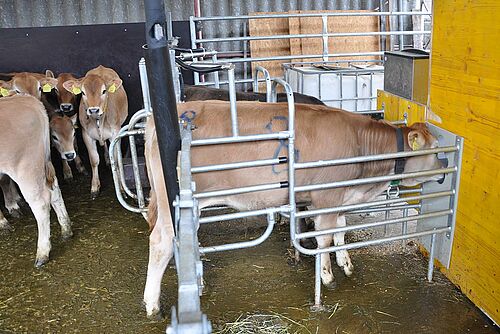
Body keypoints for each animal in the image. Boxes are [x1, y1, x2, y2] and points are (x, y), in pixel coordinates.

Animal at [0, 94, 73, 266]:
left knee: (41, 203)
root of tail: (28, 100)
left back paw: (42, 253)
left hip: (26, 168)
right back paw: (66, 230)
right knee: (55, 191)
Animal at [62, 65, 128, 198]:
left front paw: (121, 189)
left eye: (104, 91)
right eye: (83, 92)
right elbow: (94, 160)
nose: (93, 110)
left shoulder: (115, 133)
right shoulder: (86, 135)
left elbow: (115, 160)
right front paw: (95, 187)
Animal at [143, 100, 448, 318]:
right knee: (160, 242)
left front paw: (346, 264)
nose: (445, 169)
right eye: (434, 148)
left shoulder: (341, 199)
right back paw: (152, 304)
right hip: (171, 204)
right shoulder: (327, 198)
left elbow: (340, 232)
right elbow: (324, 239)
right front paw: (327, 276)